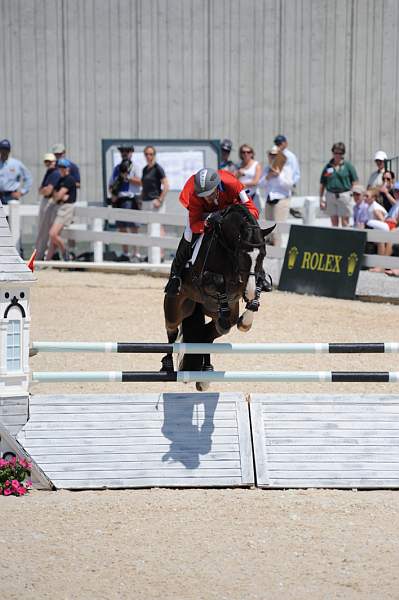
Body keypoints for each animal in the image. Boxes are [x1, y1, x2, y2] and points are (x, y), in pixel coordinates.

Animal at [162, 204, 276, 392]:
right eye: (242, 254)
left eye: (263, 254)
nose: (249, 291)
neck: (227, 246)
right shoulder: (204, 279)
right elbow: (218, 280)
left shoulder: (246, 282)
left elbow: (257, 288)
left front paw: (245, 321)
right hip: (175, 307)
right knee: (172, 330)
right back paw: (167, 365)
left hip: (220, 313)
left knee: (209, 334)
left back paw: (206, 373)